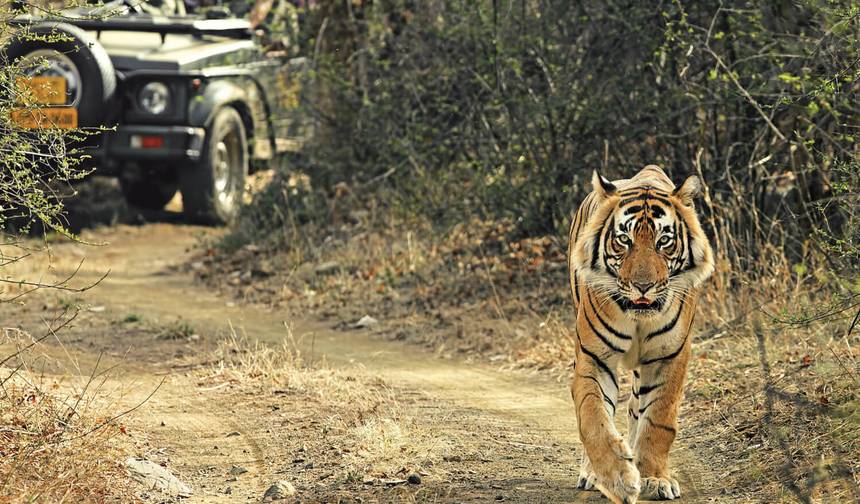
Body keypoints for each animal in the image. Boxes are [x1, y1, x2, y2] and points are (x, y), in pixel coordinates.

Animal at [567, 165, 715, 503]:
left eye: (664, 240)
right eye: (624, 239)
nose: (643, 286)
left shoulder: (669, 357)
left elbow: (658, 420)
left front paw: (654, 478)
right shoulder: (594, 358)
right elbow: (593, 417)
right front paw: (618, 478)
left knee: (636, 408)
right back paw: (591, 474)